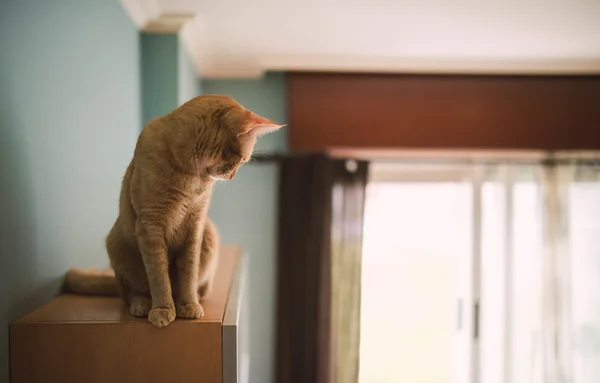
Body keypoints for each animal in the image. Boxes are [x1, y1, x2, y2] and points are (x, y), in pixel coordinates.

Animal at [64, 94, 284, 328]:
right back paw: (142, 304)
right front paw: (162, 308)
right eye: (241, 160)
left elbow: (189, 274)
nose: (233, 176)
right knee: (133, 292)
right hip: (117, 244)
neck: (189, 175)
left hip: (209, 233)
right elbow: (158, 276)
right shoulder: (150, 226)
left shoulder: (195, 227)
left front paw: (187, 304)